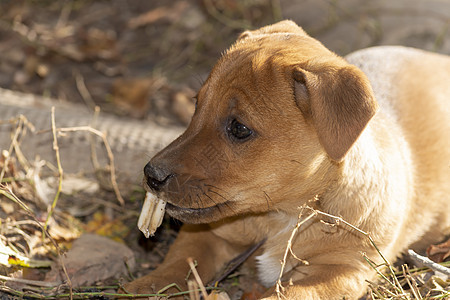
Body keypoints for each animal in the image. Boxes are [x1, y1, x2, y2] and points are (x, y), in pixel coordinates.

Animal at [123, 20, 450, 298]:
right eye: (196, 105)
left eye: (239, 128)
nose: (151, 175)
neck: (282, 216)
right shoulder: (204, 235)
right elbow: (177, 264)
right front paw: (141, 287)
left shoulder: (341, 270)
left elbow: (292, 293)